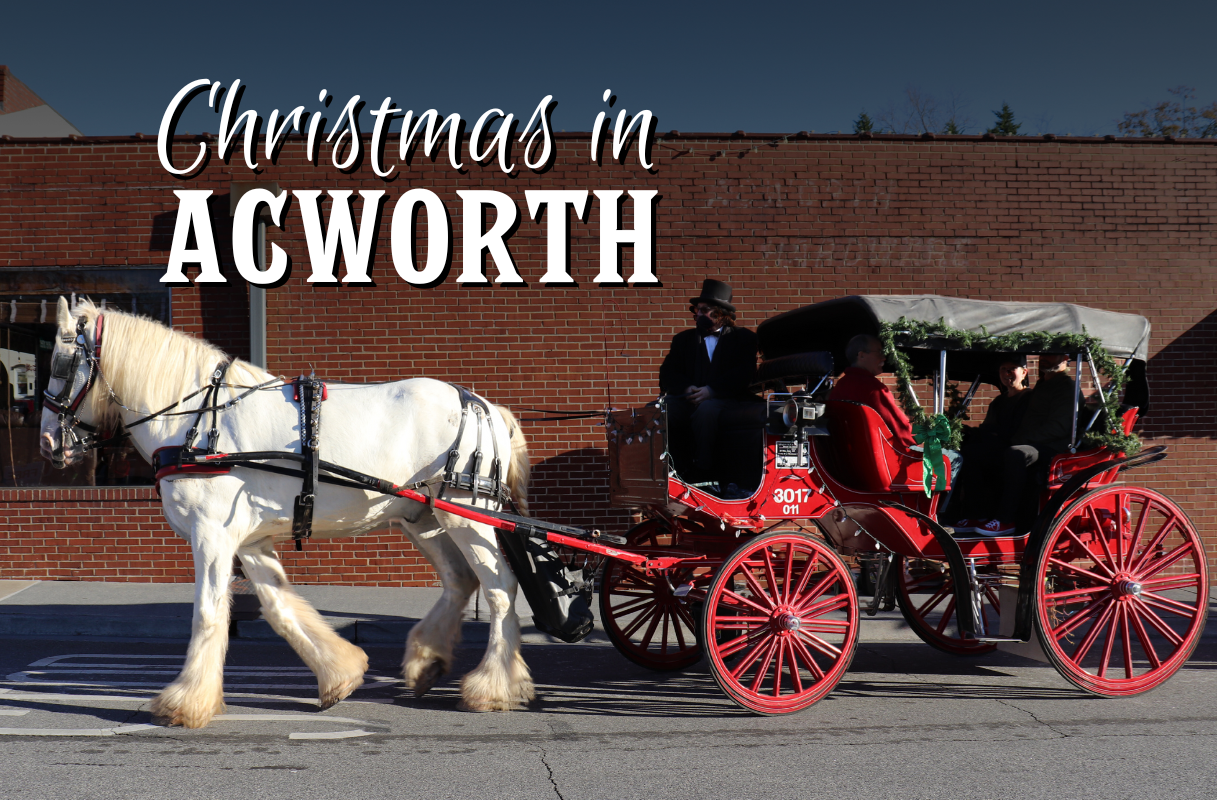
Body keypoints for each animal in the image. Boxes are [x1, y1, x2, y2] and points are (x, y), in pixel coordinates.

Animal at [39, 295, 533, 725]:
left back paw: (494, 686)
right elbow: (279, 608)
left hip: (466, 515)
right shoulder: (250, 540)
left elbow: (209, 612)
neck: (197, 419)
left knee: (500, 589)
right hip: (424, 519)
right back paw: (427, 661)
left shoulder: (212, 534)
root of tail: (487, 407)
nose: (45, 442)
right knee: (461, 580)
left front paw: (185, 702)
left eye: (61, 364)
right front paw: (340, 674)